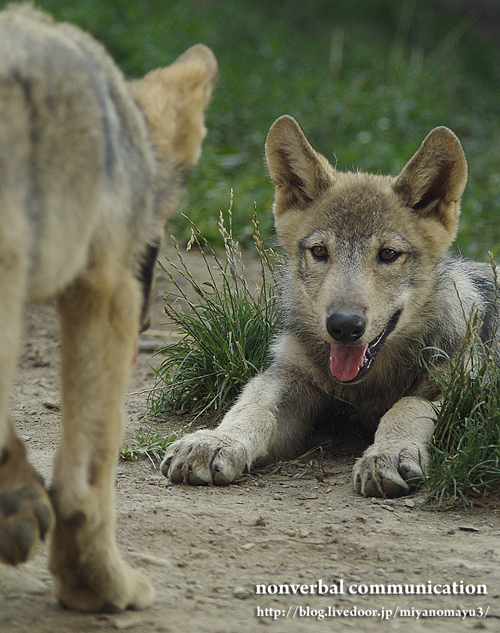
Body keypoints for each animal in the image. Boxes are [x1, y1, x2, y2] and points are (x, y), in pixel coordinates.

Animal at [161, 113, 496, 498]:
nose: (344, 326)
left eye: (388, 254)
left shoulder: (466, 393)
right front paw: (215, 441)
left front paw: (387, 454)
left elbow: (407, 406)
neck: (369, 387)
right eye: (320, 251)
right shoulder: (290, 377)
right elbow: (253, 405)